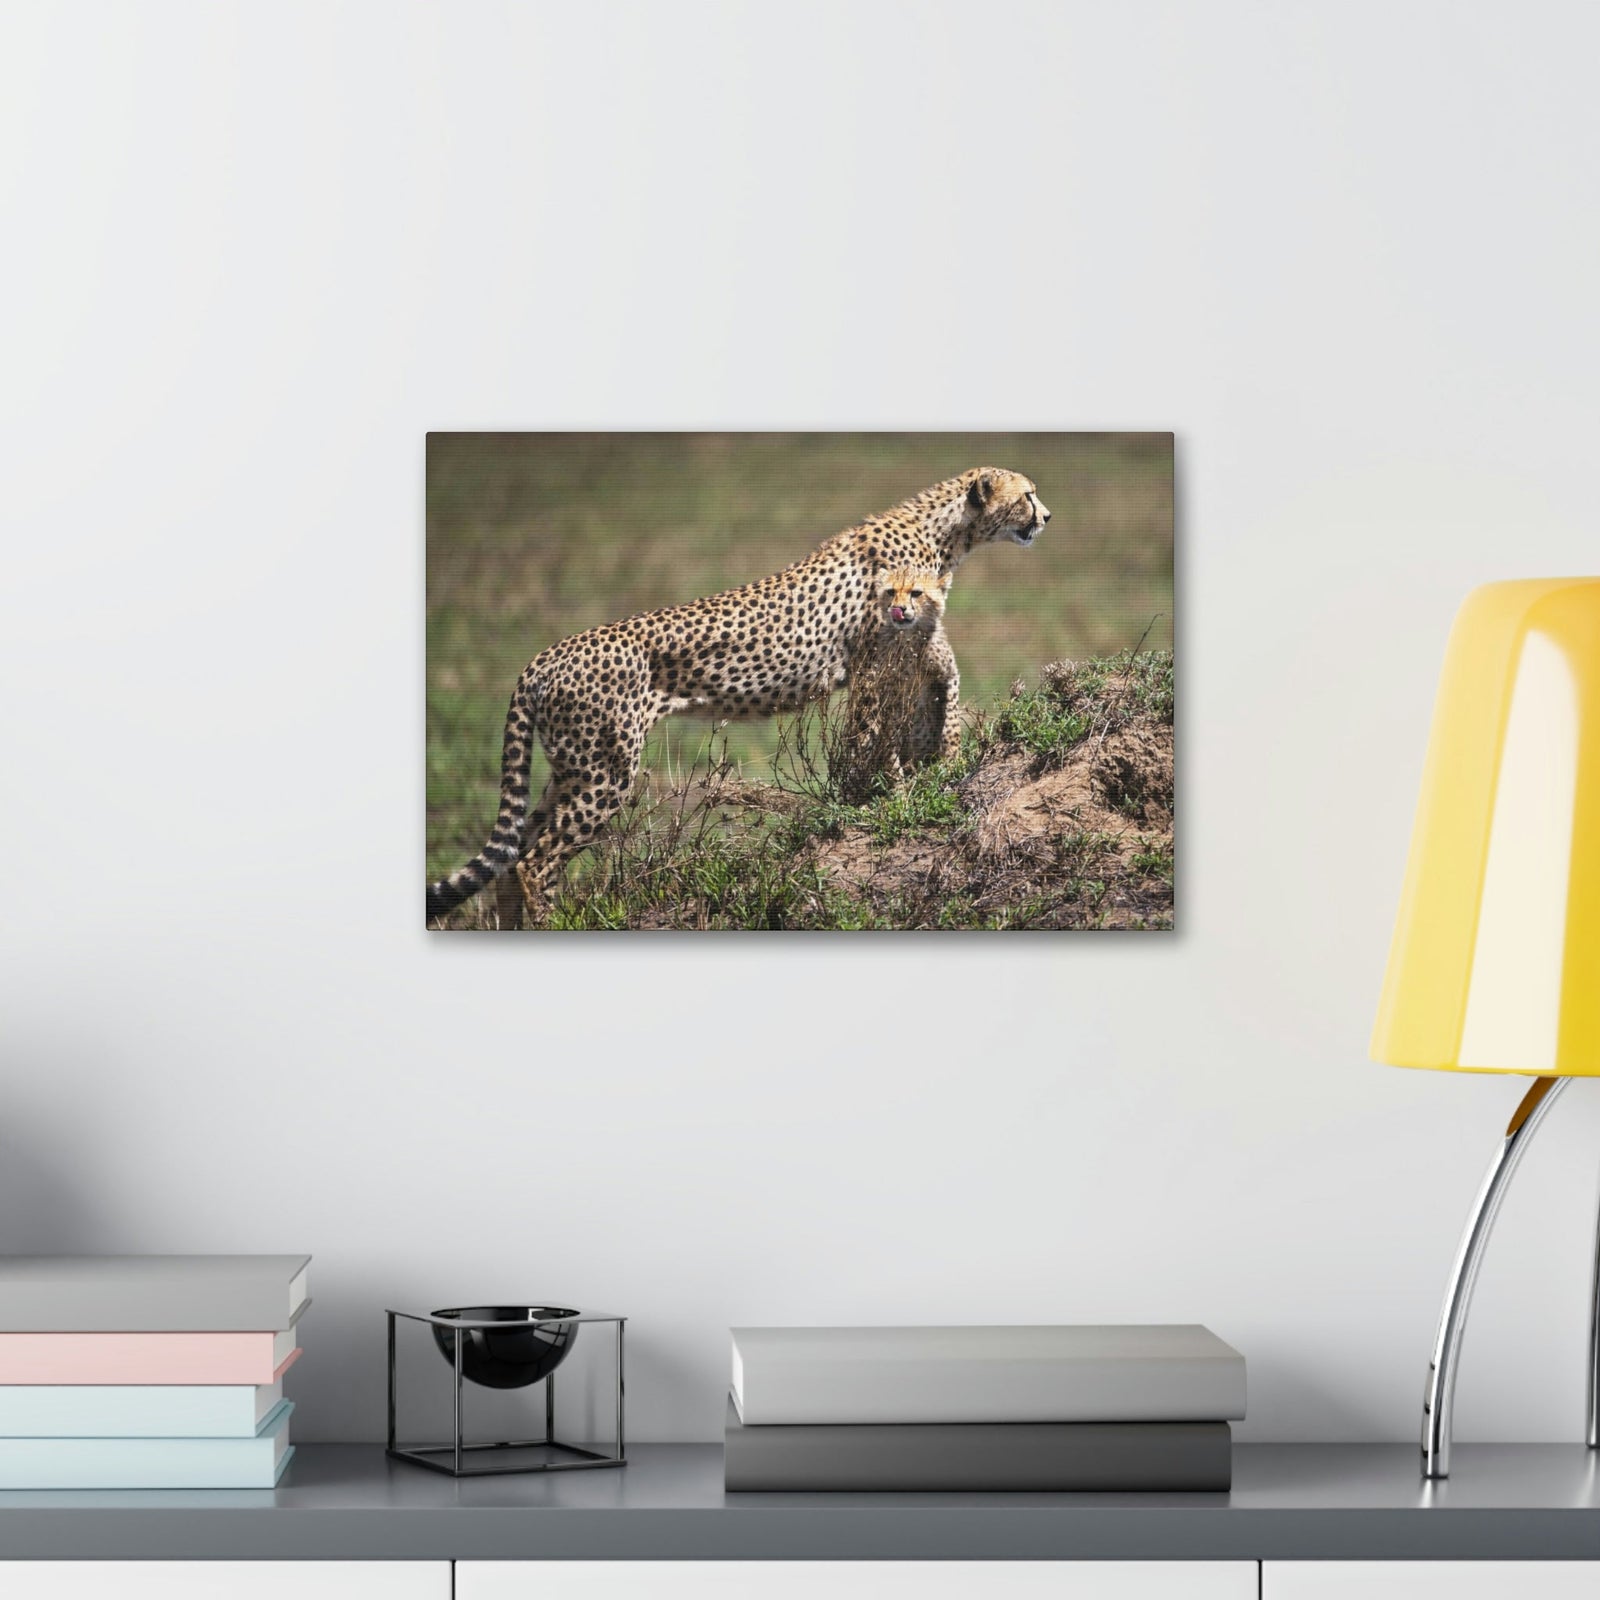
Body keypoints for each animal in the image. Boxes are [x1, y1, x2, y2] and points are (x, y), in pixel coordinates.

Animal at [834, 566, 959, 803]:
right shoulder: (889, 697)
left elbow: (952, 721)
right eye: (891, 592)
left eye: (916, 593)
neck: (911, 637)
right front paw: (899, 791)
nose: (898, 609)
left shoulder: (949, 676)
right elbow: (890, 745)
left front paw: (952, 756)